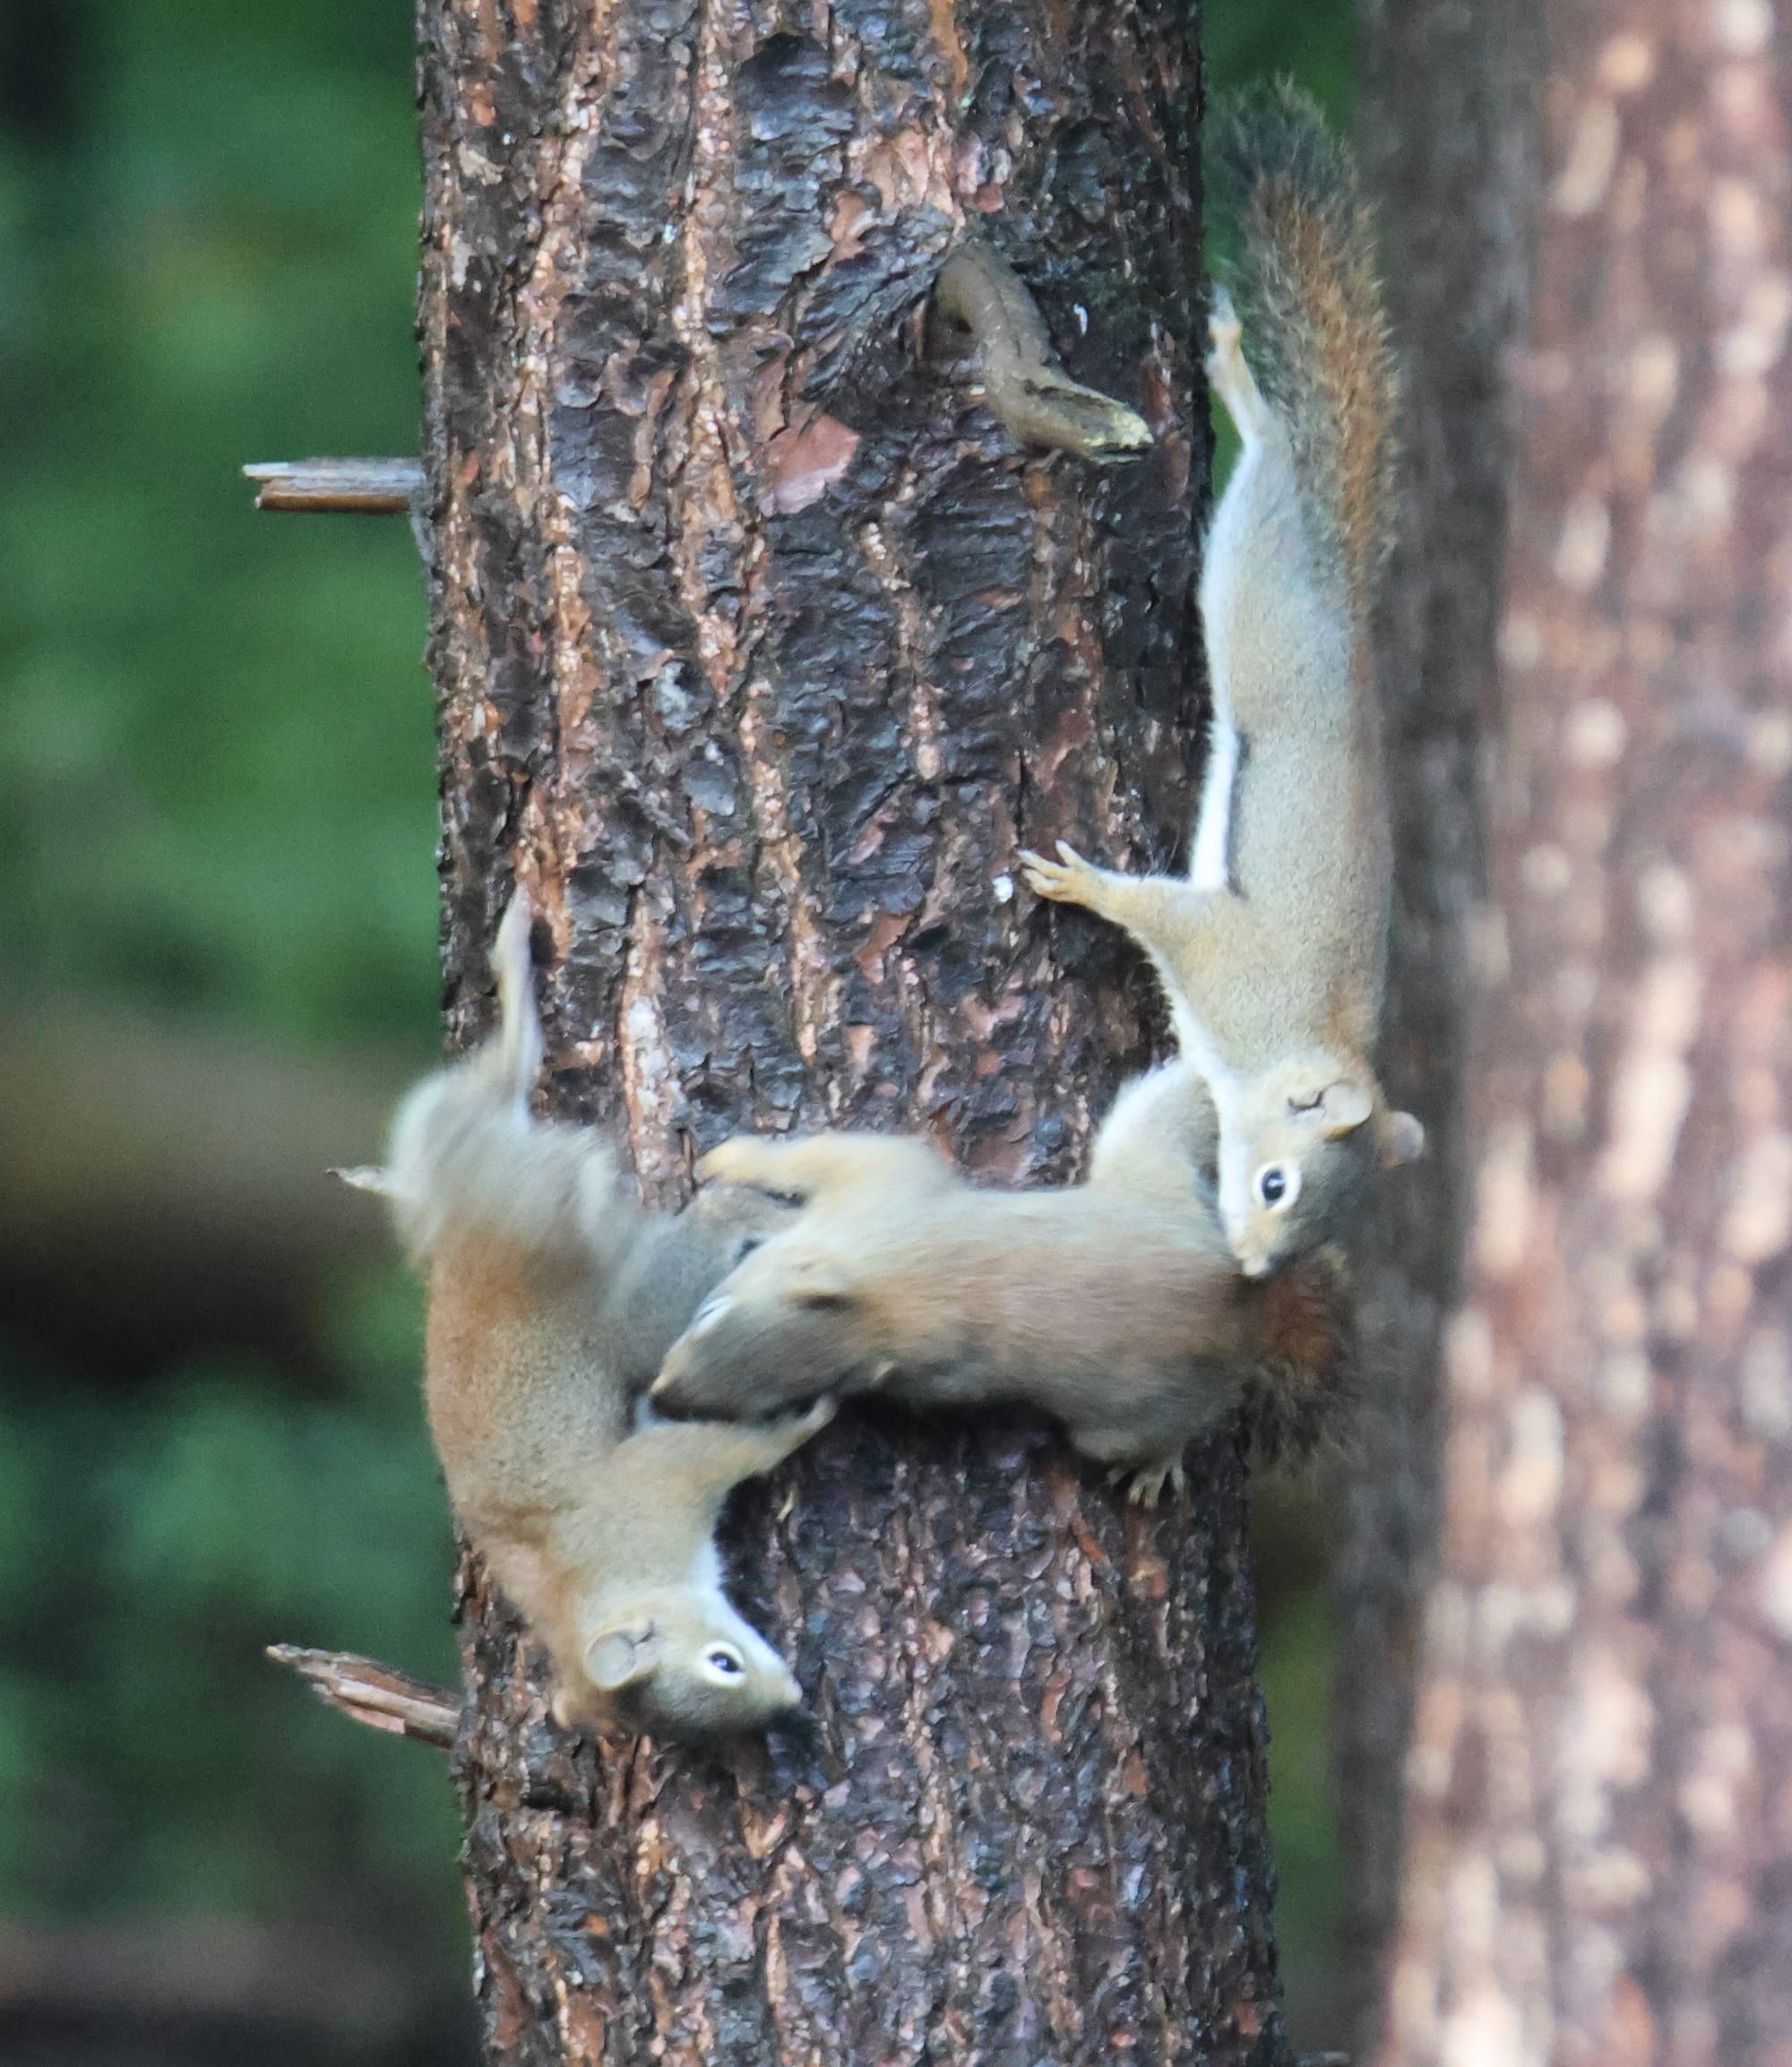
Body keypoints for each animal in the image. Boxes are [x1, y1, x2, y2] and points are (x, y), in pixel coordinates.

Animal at [340, 892, 832, 1740]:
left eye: (724, 1662)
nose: (792, 1698)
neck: (588, 1587)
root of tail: (481, 1235)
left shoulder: (654, 1483)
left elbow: (724, 1448)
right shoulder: (659, 1476)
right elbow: (729, 1443)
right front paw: (803, 1419)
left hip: (627, 1298)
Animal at [649, 1059, 1355, 1504]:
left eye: (709, 1311)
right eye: (771, 1404)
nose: (662, 1394)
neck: (876, 1299)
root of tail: (1253, 1301)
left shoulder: (886, 1187)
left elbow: (814, 1154)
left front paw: (731, 1156)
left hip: (1128, 1415)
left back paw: (1159, 1462)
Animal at [1019, 86, 1423, 1277]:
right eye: (1274, 1183)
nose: (1248, 1265)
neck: (1295, 1040)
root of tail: (1339, 584)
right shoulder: (1222, 959)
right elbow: (1159, 914)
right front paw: (1084, 887)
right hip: (1251, 586)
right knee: (1275, 449)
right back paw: (1241, 378)